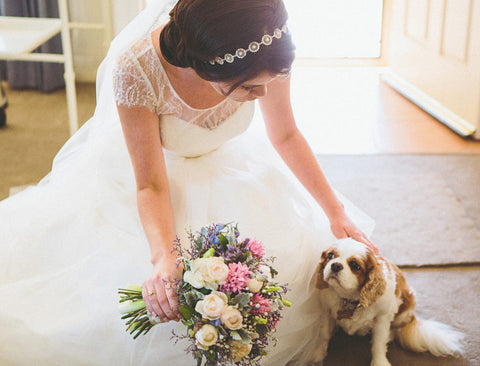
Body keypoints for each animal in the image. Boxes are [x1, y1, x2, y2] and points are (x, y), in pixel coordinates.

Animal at [312, 237, 464, 366]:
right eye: (331, 256)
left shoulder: (382, 318)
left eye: (355, 265)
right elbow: (323, 334)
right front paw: (318, 355)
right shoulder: (326, 311)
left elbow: (378, 343)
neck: (350, 299)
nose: (335, 265)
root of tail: (412, 318)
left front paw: (379, 362)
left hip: (405, 310)